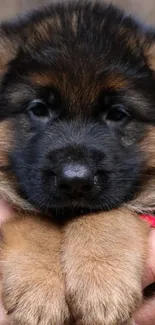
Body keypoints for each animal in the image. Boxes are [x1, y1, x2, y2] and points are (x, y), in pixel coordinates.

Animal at [0, 0, 155, 324]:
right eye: (38, 109)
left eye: (117, 114)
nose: (75, 180)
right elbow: (34, 221)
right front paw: (38, 290)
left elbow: (108, 214)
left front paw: (102, 281)